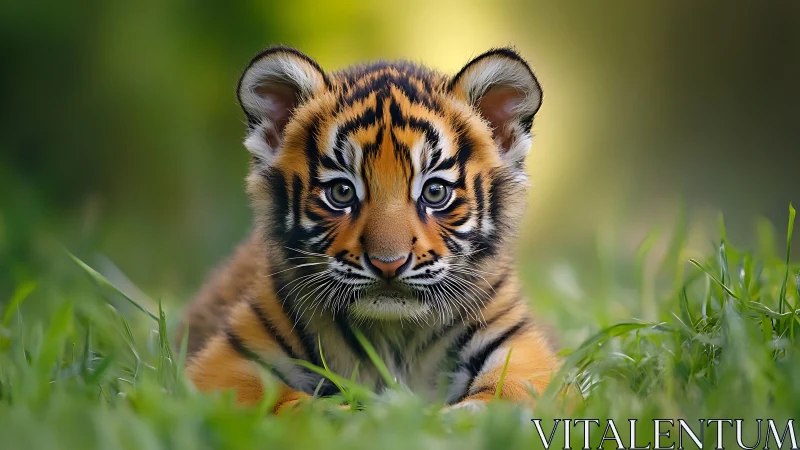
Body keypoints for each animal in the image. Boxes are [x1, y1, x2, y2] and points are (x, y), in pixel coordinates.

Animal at [181, 45, 559, 413]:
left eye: (435, 192)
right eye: (341, 192)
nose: (388, 264)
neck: (392, 334)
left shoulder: (523, 355)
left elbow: (503, 399)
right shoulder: (229, 362)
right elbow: (292, 404)